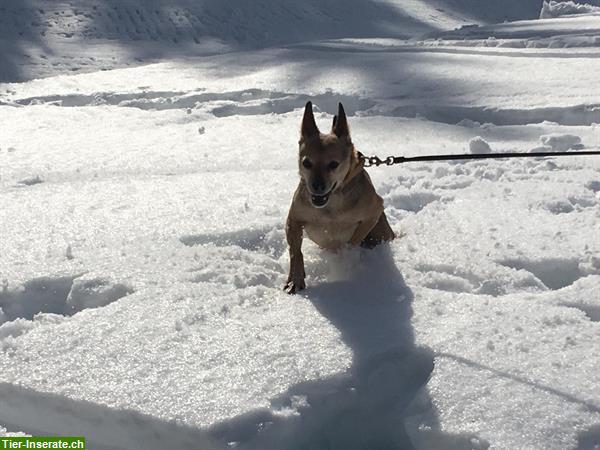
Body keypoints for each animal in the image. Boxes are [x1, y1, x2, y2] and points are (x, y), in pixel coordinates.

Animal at [284, 101, 396, 296]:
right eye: (306, 163)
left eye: (333, 164)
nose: (317, 187)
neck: (331, 204)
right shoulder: (293, 220)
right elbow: (295, 252)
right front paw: (295, 279)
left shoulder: (374, 211)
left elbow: (354, 239)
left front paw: (344, 257)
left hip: (381, 230)